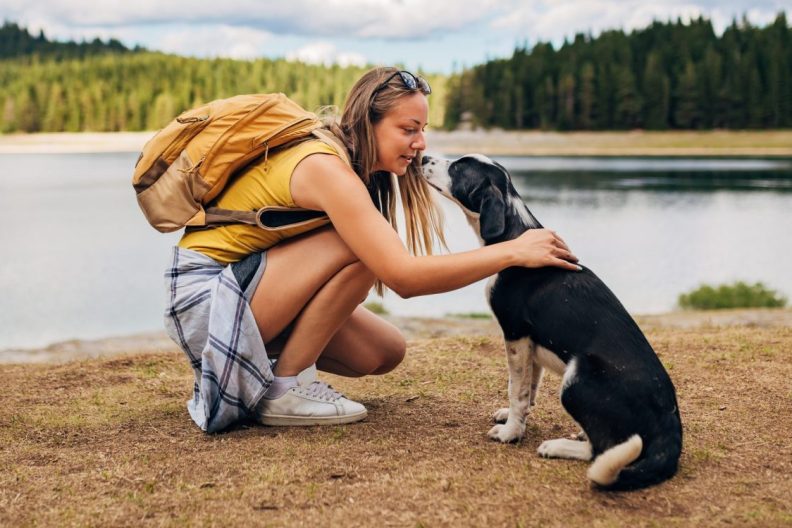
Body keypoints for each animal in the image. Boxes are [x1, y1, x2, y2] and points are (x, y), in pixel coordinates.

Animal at [424, 153, 684, 490]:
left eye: (457, 167)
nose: (423, 157)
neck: (515, 234)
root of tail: (671, 426)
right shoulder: (530, 345)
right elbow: (527, 389)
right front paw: (513, 420)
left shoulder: (515, 334)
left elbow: (516, 390)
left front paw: (510, 433)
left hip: (576, 379)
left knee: (599, 451)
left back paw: (557, 446)